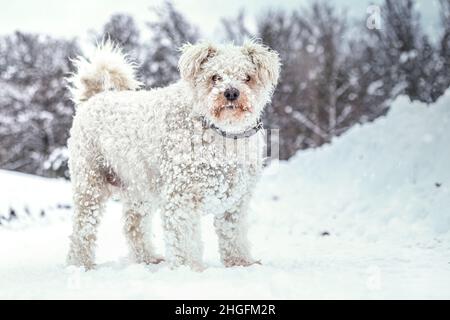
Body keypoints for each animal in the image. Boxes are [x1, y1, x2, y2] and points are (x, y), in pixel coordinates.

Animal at [65, 40, 280, 270]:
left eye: (247, 77)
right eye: (215, 77)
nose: (231, 93)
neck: (220, 132)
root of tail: (94, 97)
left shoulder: (236, 199)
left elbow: (233, 234)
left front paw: (241, 262)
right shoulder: (181, 196)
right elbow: (183, 238)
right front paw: (188, 268)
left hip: (138, 187)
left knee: (134, 225)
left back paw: (147, 258)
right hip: (90, 183)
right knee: (82, 229)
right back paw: (81, 264)